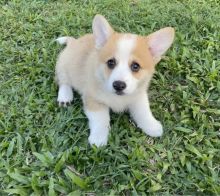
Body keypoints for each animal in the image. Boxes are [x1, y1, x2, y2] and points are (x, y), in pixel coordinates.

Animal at [55, 15, 175, 146]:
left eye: (135, 66)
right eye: (110, 62)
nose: (118, 85)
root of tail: (74, 42)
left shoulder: (138, 97)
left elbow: (143, 112)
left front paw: (152, 126)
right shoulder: (93, 100)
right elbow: (100, 119)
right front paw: (98, 138)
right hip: (63, 65)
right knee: (63, 81)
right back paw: (65, 97)